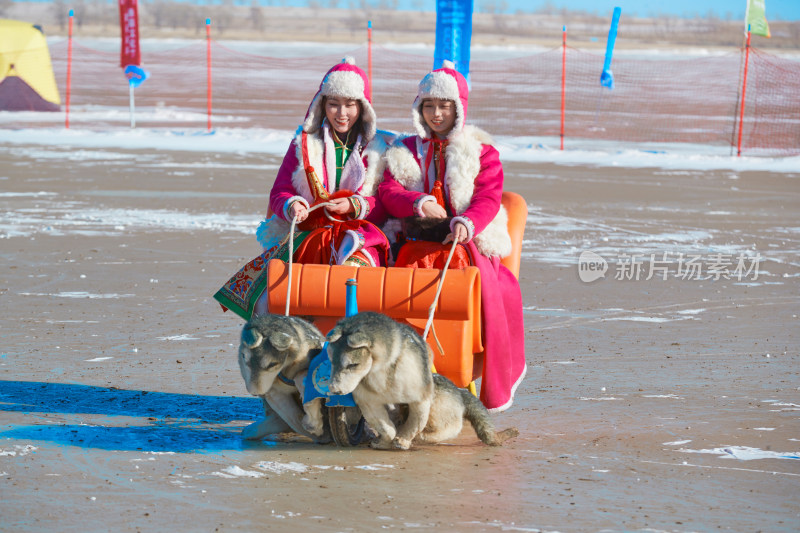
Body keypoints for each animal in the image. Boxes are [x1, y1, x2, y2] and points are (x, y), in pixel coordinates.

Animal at [326, 312, 434, 448]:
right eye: (332, 362)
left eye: (353, 365)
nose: (334, 389)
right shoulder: (369, 402)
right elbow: (387, 429)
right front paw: (383, 442)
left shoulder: (420, 398)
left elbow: (416, 424)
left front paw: (402, 440)